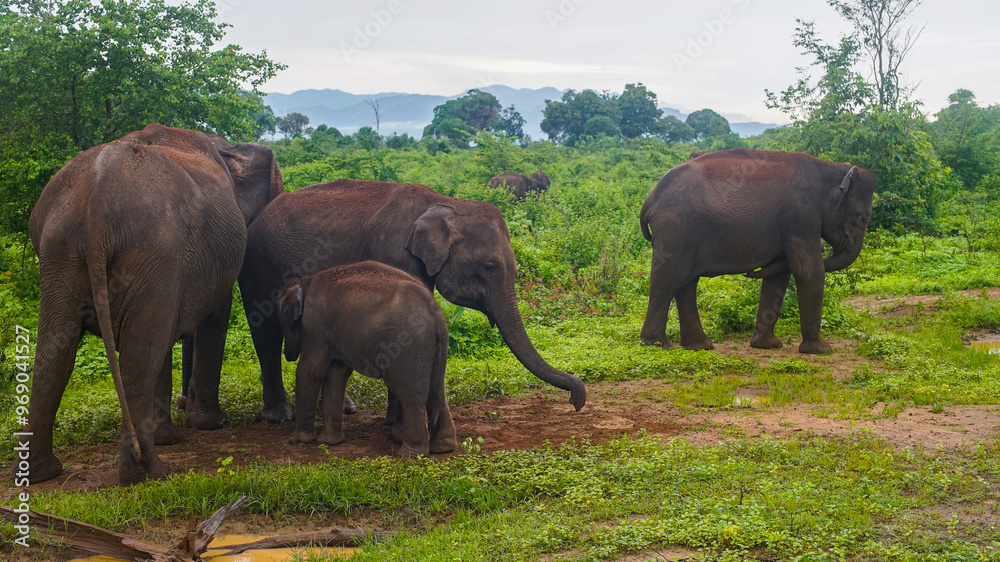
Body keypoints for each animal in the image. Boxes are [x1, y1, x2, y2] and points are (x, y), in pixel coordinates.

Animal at [23, 124, 283, 485]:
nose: (184, 401)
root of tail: (97, 195)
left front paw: (172, 436)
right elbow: (212, 318)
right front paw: (209, 425)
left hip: (62, 252)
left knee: (55, 353)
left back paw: (41, 474)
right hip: (149, 250)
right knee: (140, 354)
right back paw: (148, 474)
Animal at [181, 178, 586, 429]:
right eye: (488, 266)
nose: (576, 401)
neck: (447, 205)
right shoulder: (394, 251)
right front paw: (399, 422)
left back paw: (345, 408)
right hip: (256, 263)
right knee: (265, 333)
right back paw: (279, 416)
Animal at [278, 261, 456, 456]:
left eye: (282, 319)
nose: (288, 355)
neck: (305, 282)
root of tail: (438, 317)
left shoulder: (315, 324)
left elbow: (311, 371)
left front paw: (299, 440)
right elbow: (336, 374)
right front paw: (330, 442)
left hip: (409, 346)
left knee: (409, 394)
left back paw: (408, 454)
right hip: (433, 350)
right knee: (436, 392)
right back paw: (443, 448)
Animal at [639, 148, 875, 354]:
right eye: (863, 218)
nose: (750, 272)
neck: (828, 167)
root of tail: (650, 199)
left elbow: (779, 274)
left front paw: (767, 345)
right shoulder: (801, 215)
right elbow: (808, 270)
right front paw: (822, 350)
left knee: (686, 282)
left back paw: (699, 346)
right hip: (674, 229)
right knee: (666, 279)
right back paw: (657, 345)